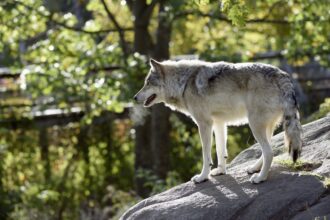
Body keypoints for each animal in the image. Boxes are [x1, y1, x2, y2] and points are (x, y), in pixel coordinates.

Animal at [133, 58, 302, 184]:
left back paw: (260, 178)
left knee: (269, 152)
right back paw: (254, 169)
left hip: (254, 125)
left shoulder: (204, 124)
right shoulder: (219, 123)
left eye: (148, 83)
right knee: (268, 150)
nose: (134, 97)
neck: (184, 83)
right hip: (265, 127)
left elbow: (206, 155)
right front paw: (220, 171)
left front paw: (202, 177)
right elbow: (221, 151)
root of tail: (283, 75)